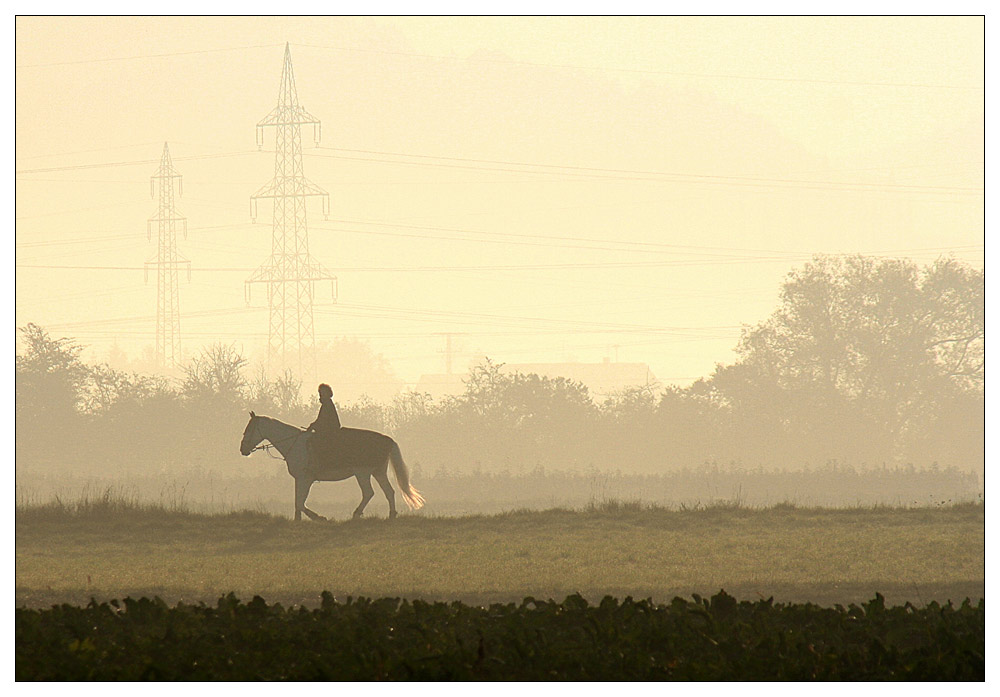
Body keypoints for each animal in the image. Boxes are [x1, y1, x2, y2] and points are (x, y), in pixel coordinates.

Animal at [240, 410, 424, 520]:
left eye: (249, 429)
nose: (243, 449)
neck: (294, 443)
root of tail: (387, 439)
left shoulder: (306, 478)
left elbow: (300, 502)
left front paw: (318, 517)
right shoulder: (300, 479)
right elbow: (297, 501)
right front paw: (298, 520)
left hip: (362, 473)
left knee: (368, 493)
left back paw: (356, 514)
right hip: (378, 472)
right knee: (389, 491)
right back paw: (391, 515)